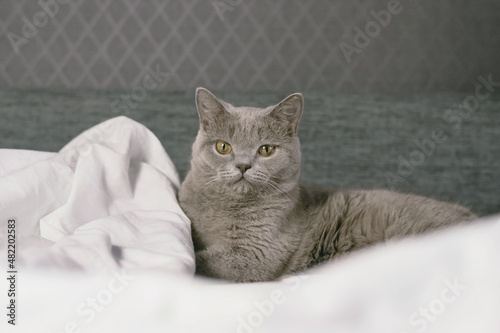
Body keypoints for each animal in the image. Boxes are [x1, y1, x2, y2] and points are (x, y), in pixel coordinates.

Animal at [178, 87, 474, 282]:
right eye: (223, 147)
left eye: (266, 150)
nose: (242, 165)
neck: (225, 208)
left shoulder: (256, 254)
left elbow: (203, 261)